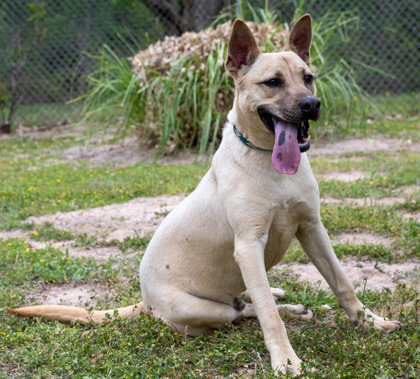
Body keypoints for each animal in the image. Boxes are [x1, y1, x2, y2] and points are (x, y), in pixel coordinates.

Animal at [6, 14, 400, 374]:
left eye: (308, 77)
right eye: (273, 82)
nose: (311, 105)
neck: (269, 164)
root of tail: (145, 303)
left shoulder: (312, 229)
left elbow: (343, 283)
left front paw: (372, 322)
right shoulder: (249, 245)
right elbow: (268, 316)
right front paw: (285, 360)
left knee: (250, 297)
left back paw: (284, 297)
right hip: (201, 307)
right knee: (243, 310)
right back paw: (283, 306)